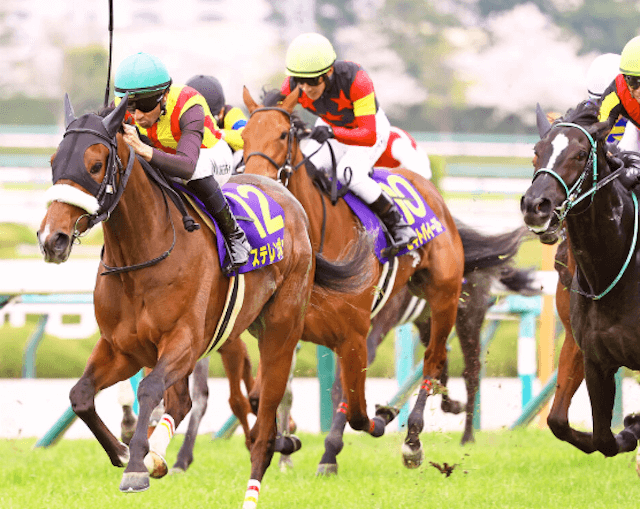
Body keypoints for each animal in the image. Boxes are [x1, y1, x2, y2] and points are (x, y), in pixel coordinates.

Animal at [36, 96, 370, 504]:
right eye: (54, 162)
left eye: (95, 164)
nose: (52, 238)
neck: (142, 254)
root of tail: (292, 202)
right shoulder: (122, 347)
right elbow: (81, 394)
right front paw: (127, 452)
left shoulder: (185, 341)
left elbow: (150, 389)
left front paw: (136, 466)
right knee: (185, 401)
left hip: (281, 332)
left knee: (263, 423)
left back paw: (255, 482)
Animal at [241, 85, 528, 470]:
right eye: (243, 135)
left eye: (284, 134)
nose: (257, 183)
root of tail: (434, 193)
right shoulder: (289, 328)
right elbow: (263, 394)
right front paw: (285, 442)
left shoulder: (357, 331)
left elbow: (347, 399)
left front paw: (332, 450)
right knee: (441, 361)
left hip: (451, 303)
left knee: (444, 362)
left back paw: (422, 438)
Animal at [520, 99, 640, 456]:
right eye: (537, 152)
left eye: (580, 154)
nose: (536, 205)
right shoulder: (592, 356)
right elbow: (584, 432)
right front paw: (629, 429)